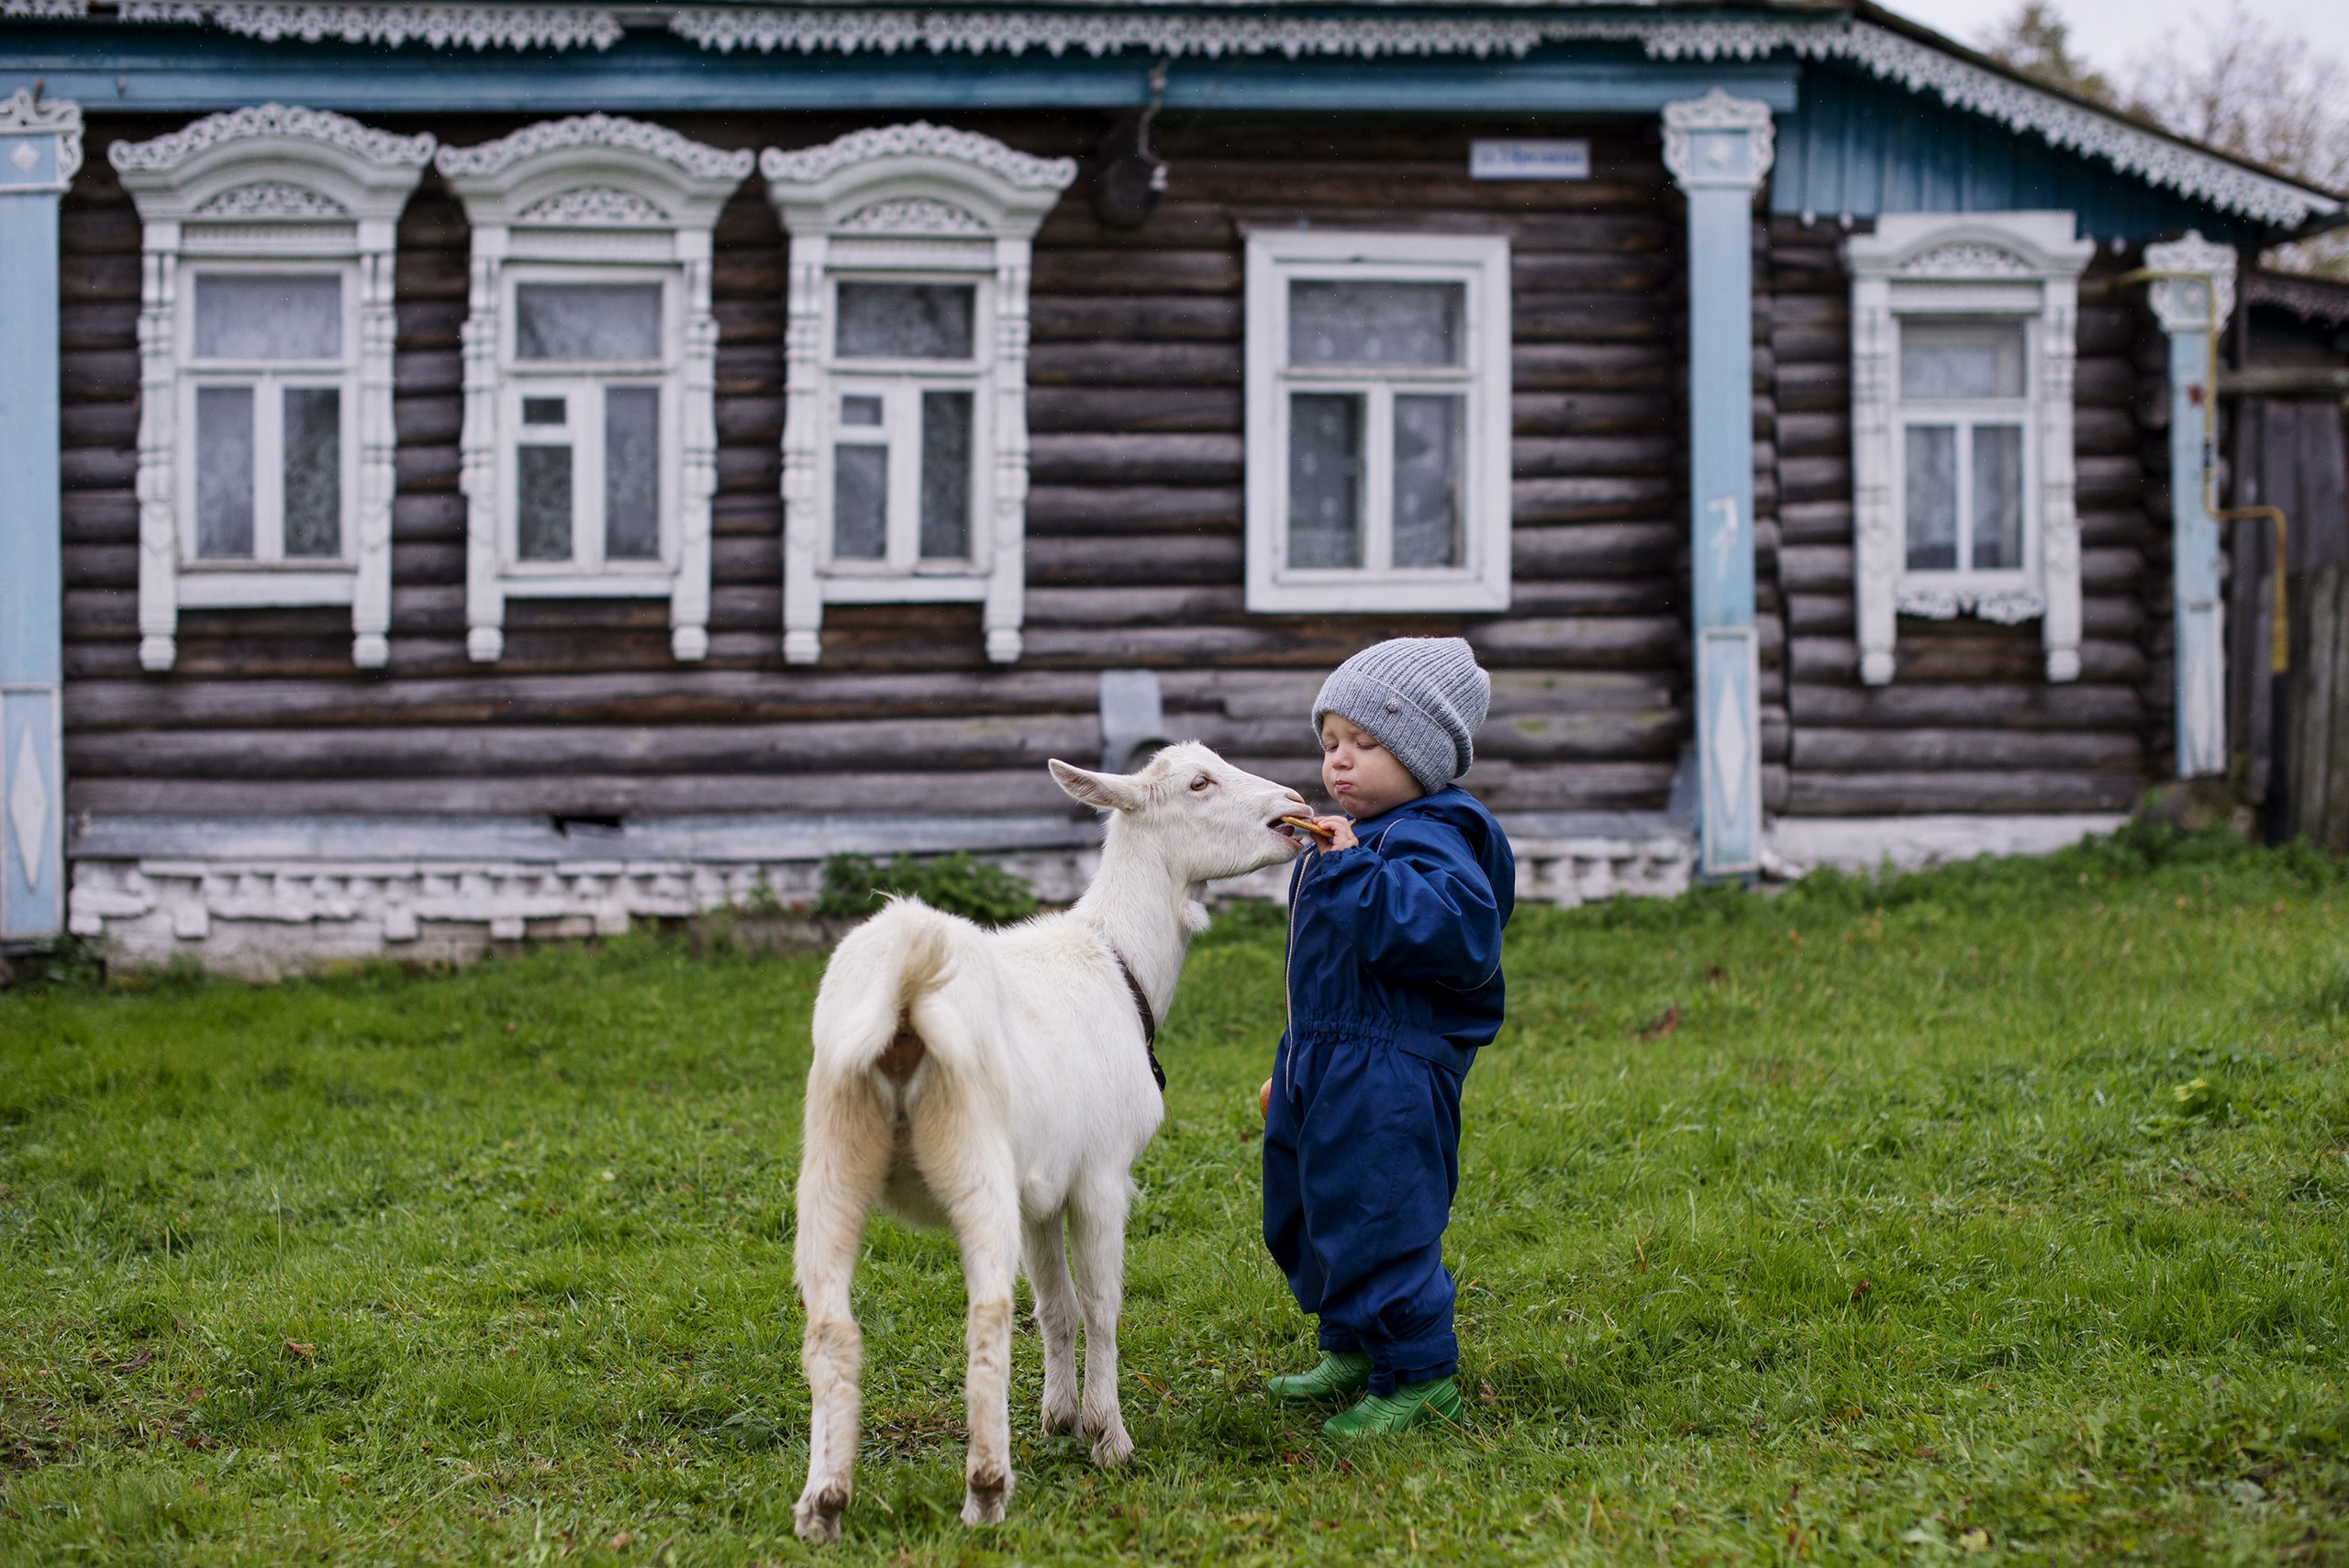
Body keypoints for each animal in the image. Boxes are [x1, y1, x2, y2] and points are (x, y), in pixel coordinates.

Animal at [789, 741, 1306, 1540]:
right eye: (1199, 782)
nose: (1295, 804)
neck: (1117, 961)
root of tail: (901, 996)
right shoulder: (1100, 1176)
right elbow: (1100, 1302)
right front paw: (1106, 1433)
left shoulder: (1042, 1185)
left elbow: (1056, 1303)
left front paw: (1059, 1415)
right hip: (973, 1163)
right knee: (986, 1315)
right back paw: (986, 1488)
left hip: (834, 1159)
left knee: (830, 1326)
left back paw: (824, 1503)